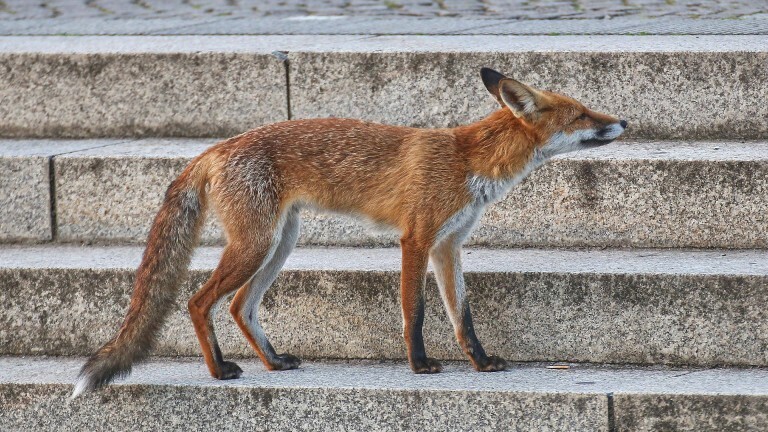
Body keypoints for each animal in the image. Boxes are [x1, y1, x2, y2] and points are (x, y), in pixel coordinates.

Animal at [71, 67, 626, 397]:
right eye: (581, 113)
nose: (623, 121)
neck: (469, 161)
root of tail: (216, 148)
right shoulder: (416, 239)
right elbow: (414, 312)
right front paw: (419, 366)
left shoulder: (449, 246)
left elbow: (462, 317)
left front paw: (482, 362)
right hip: (255, 246)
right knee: (197, 301)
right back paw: (219, 371)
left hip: (280, 244)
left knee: (239, 306)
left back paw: (273, 363)